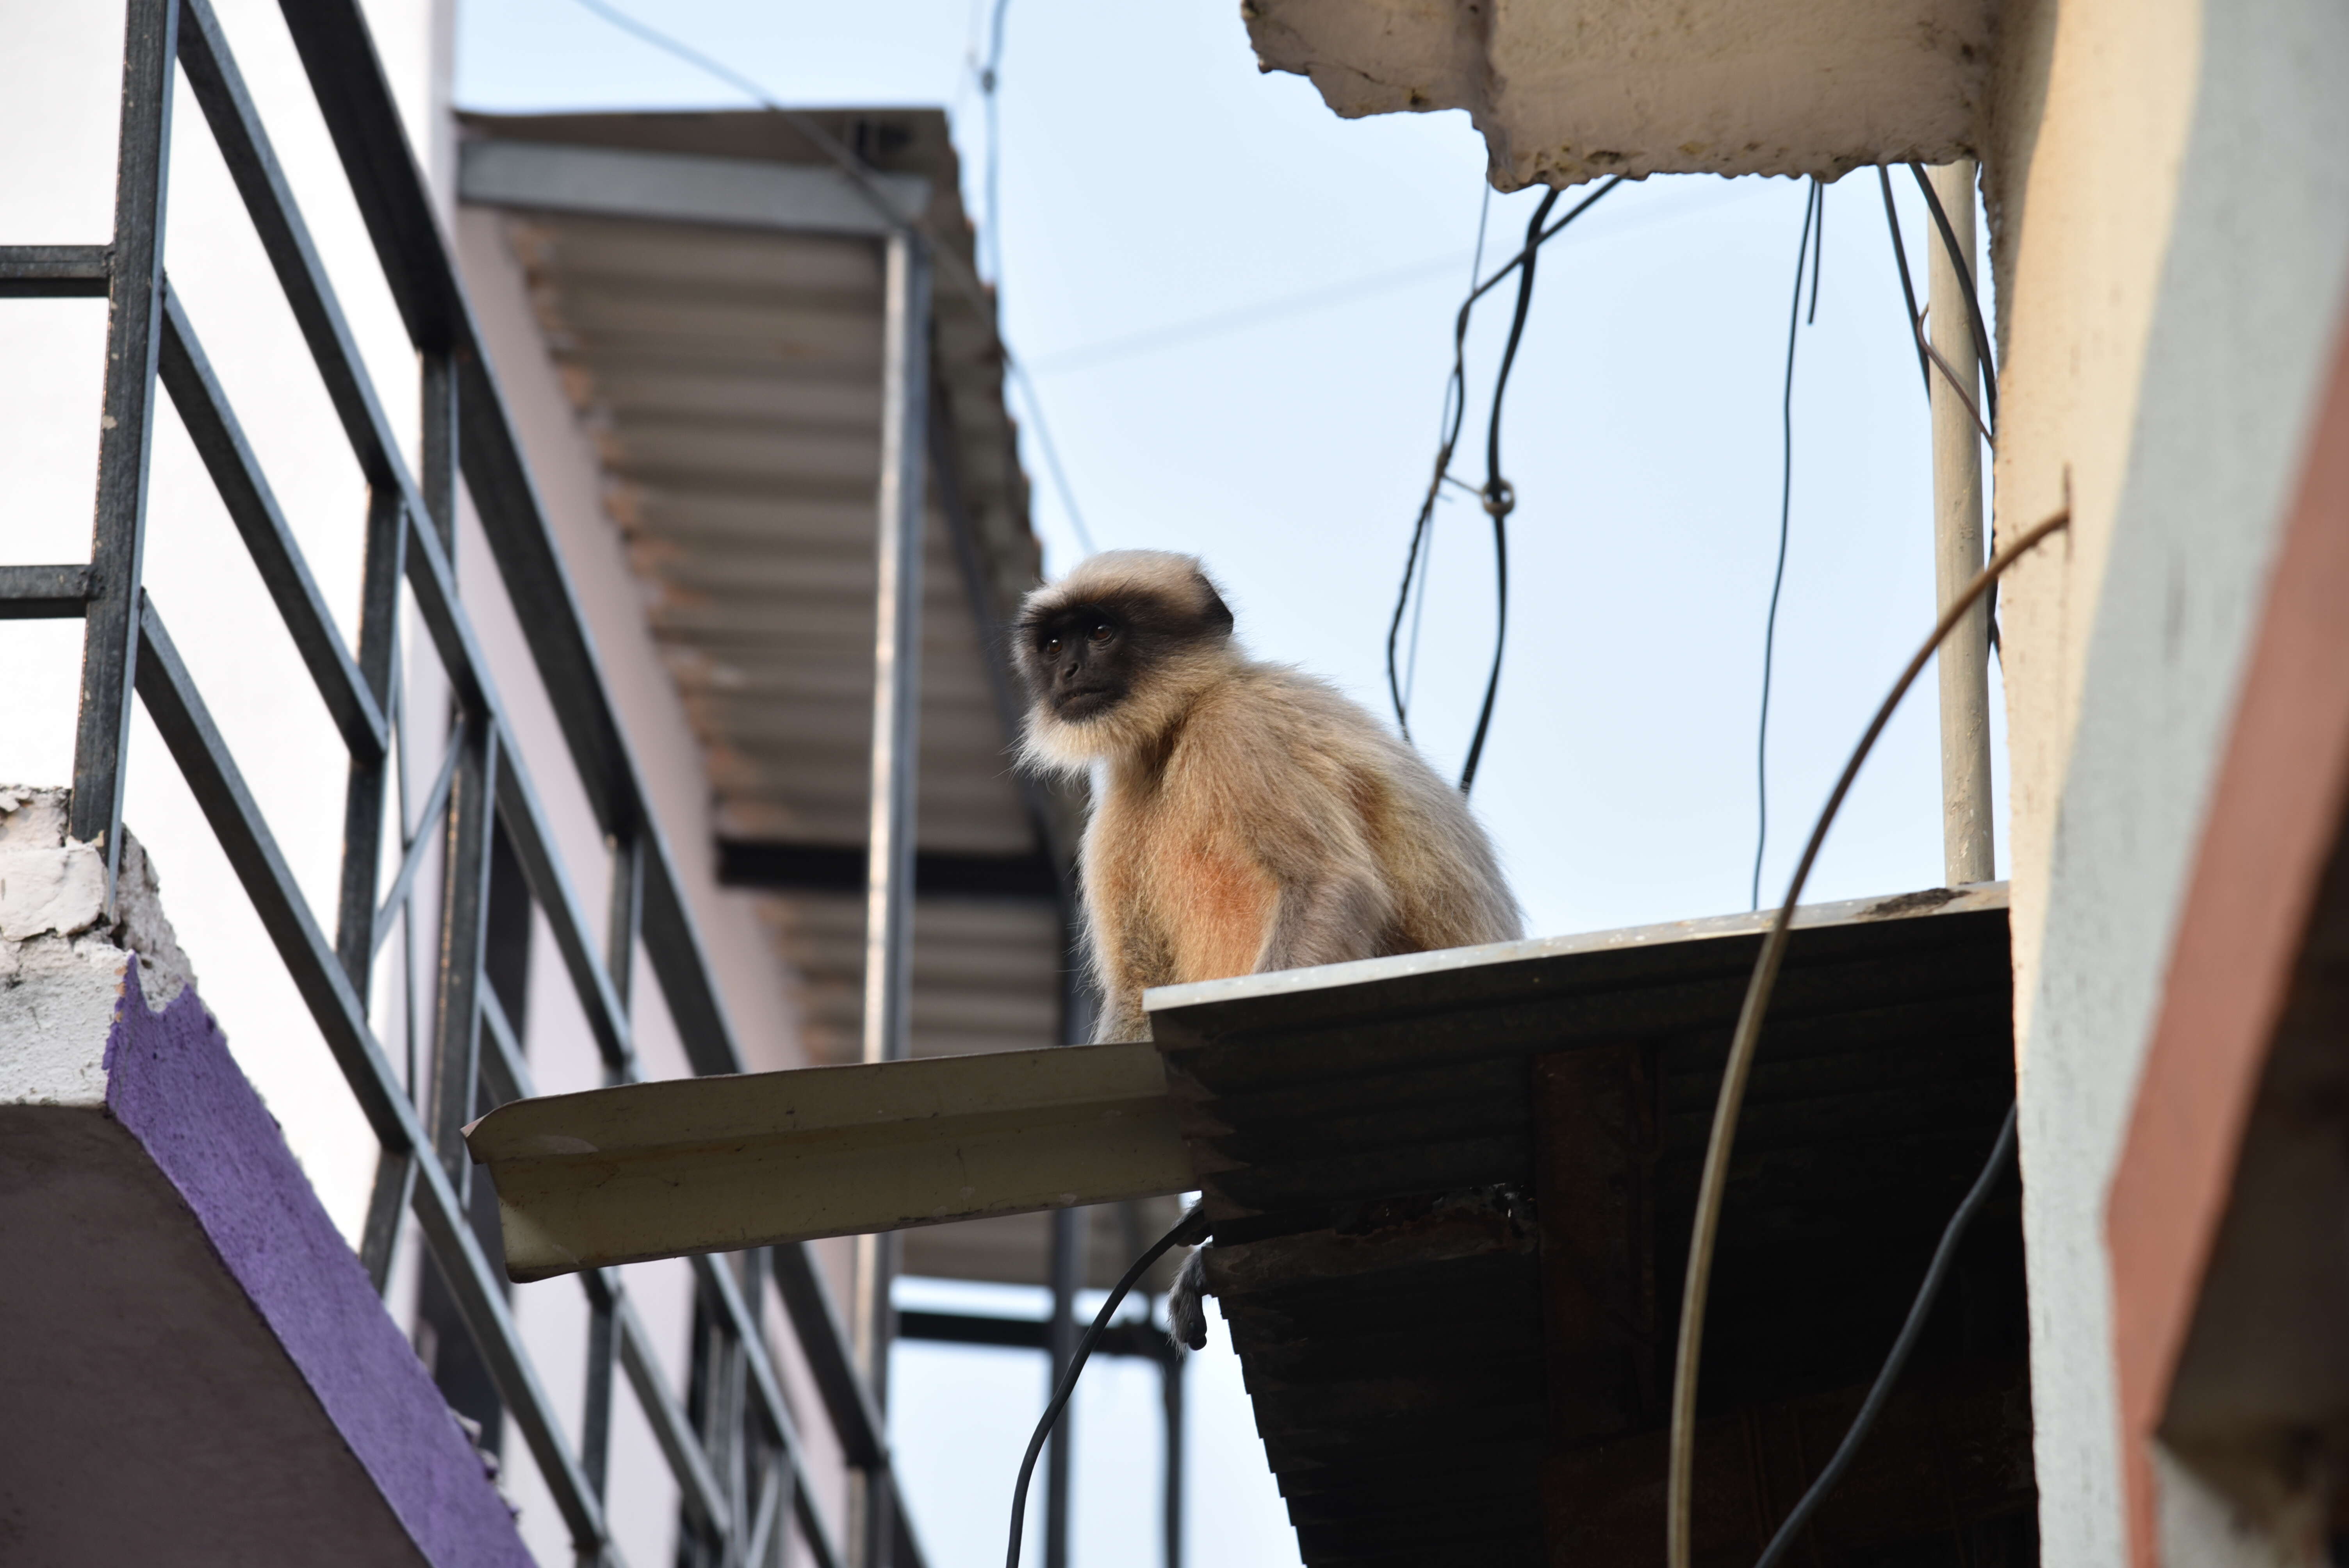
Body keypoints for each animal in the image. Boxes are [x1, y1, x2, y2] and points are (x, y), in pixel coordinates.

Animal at [1010, 551, 1522, 1352]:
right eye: (1056, 643)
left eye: (1100, 633)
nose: (1069, 673)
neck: (1179, 720)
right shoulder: (1121, 800)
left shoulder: (1236, 731)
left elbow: (1331, 886)